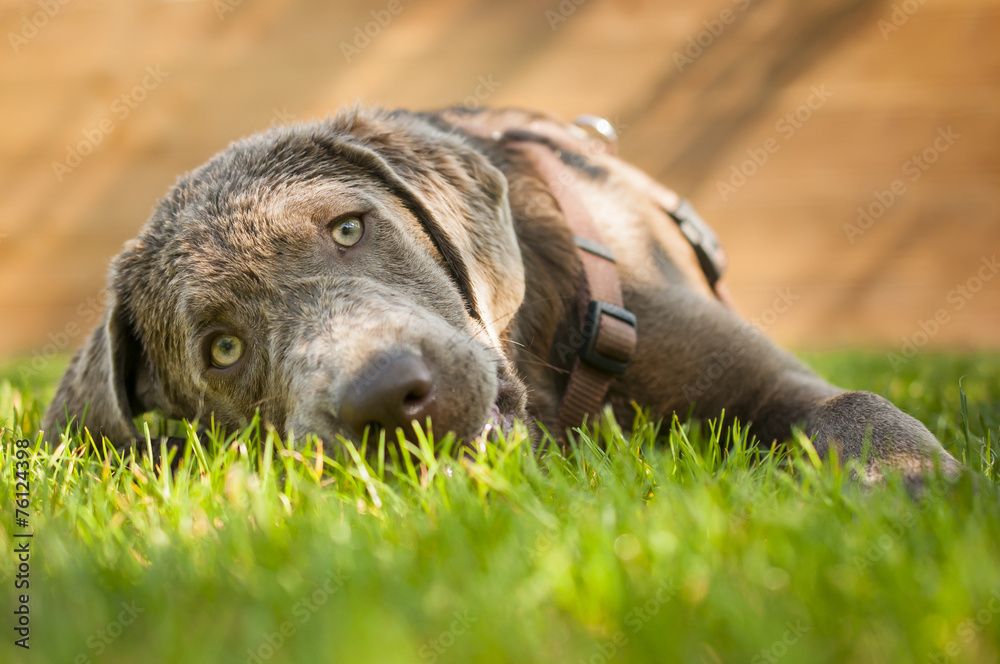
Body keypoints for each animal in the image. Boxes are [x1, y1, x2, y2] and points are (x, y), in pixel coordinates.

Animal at [45, 106, 960, 486]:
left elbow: (855, 405)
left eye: (349, 228)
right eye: (223, 349)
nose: (386, 398)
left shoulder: (760, 377)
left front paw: (907, 486)